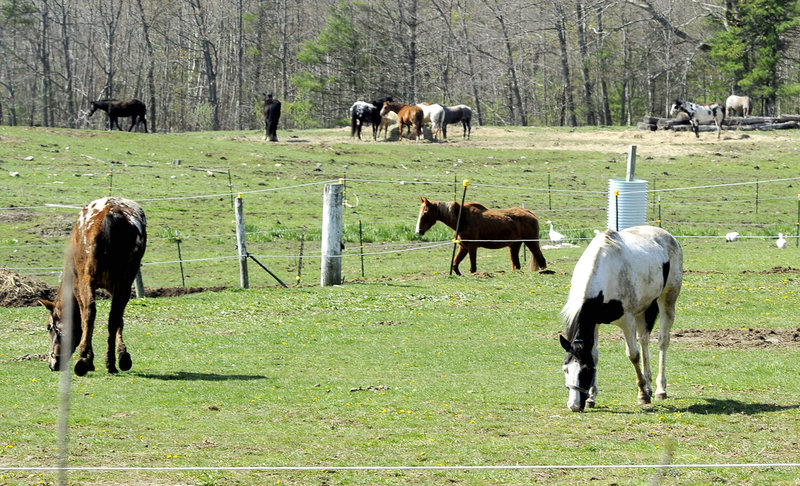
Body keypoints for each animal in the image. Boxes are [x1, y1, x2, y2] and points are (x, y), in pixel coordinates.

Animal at [40, 197, 147, 376]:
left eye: (49, 327)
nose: (52, 363)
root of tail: (112, 214)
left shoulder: (77, 286)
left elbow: (84, 320)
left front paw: (88, 358)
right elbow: (119, 320)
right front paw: (123, 355)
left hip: (87, 279)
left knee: (90, 311)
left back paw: (83, 360)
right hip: (125, 281)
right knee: (114, 316)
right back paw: (110, 363)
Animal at [415, 197, 547, 275]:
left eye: (425, 213)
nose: (418, 231)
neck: (462, 218)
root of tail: (530, 213)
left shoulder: (472, 247)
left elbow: (473, 267)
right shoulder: (463, 247)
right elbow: (455, 264)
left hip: (531, 243)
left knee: (541, 260)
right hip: (514, 246)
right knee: (517, 264)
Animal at [559, 225, 683, 412]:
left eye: (585, 370)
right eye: (565, 369)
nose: (573, 405)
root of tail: (667, 235)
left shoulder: (627, 321)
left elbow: (633, 355)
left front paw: (642, 395)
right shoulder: (595, 324)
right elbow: (594, 355)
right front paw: (592, 397)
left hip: (667, 299)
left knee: (663, 341)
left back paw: (660, 389)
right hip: (642, 309)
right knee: (644, 340)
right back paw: (649, 384)